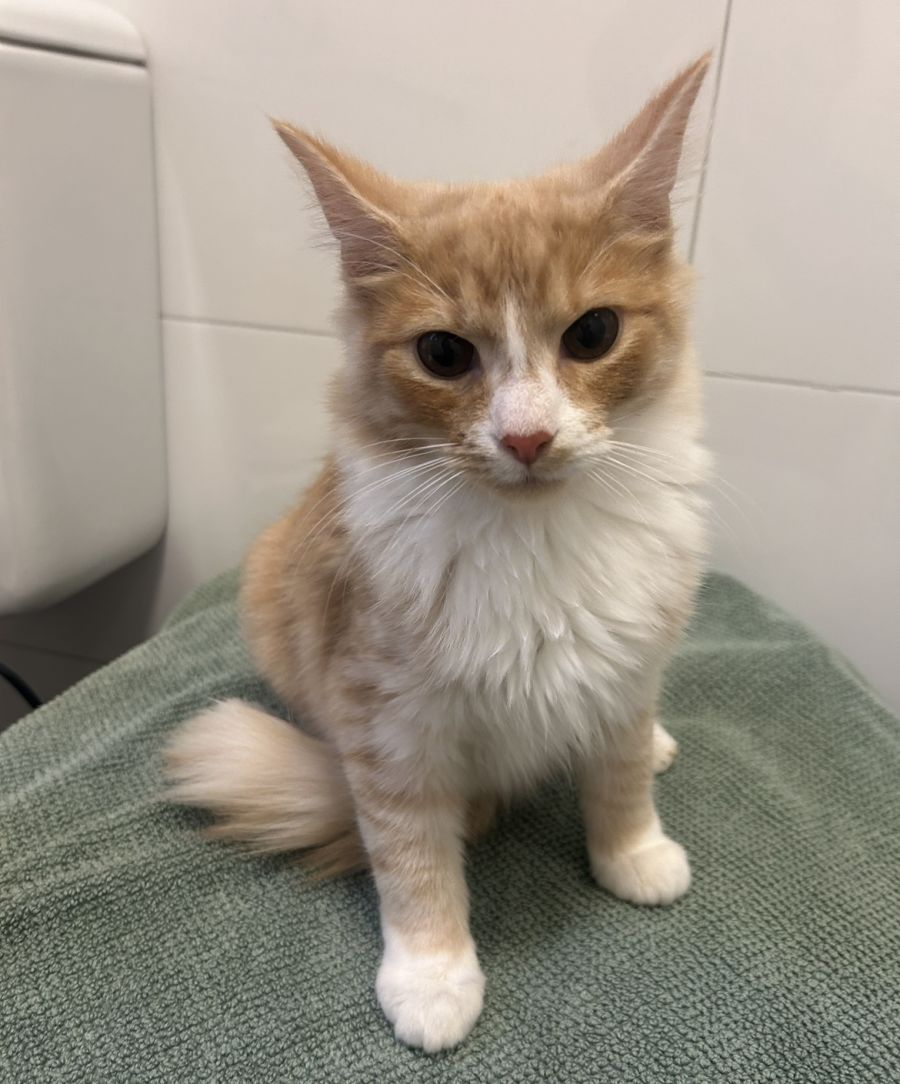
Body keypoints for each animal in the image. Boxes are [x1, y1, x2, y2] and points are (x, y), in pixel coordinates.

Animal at [166, 54, 711, 1053]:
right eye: (444, 354)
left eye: (592, 334)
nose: (527, 437)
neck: (535, 540)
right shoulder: (385, 718)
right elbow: (412, 852)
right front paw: (432, 977)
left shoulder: (626, 660)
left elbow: (616, 775)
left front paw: (634, 854)